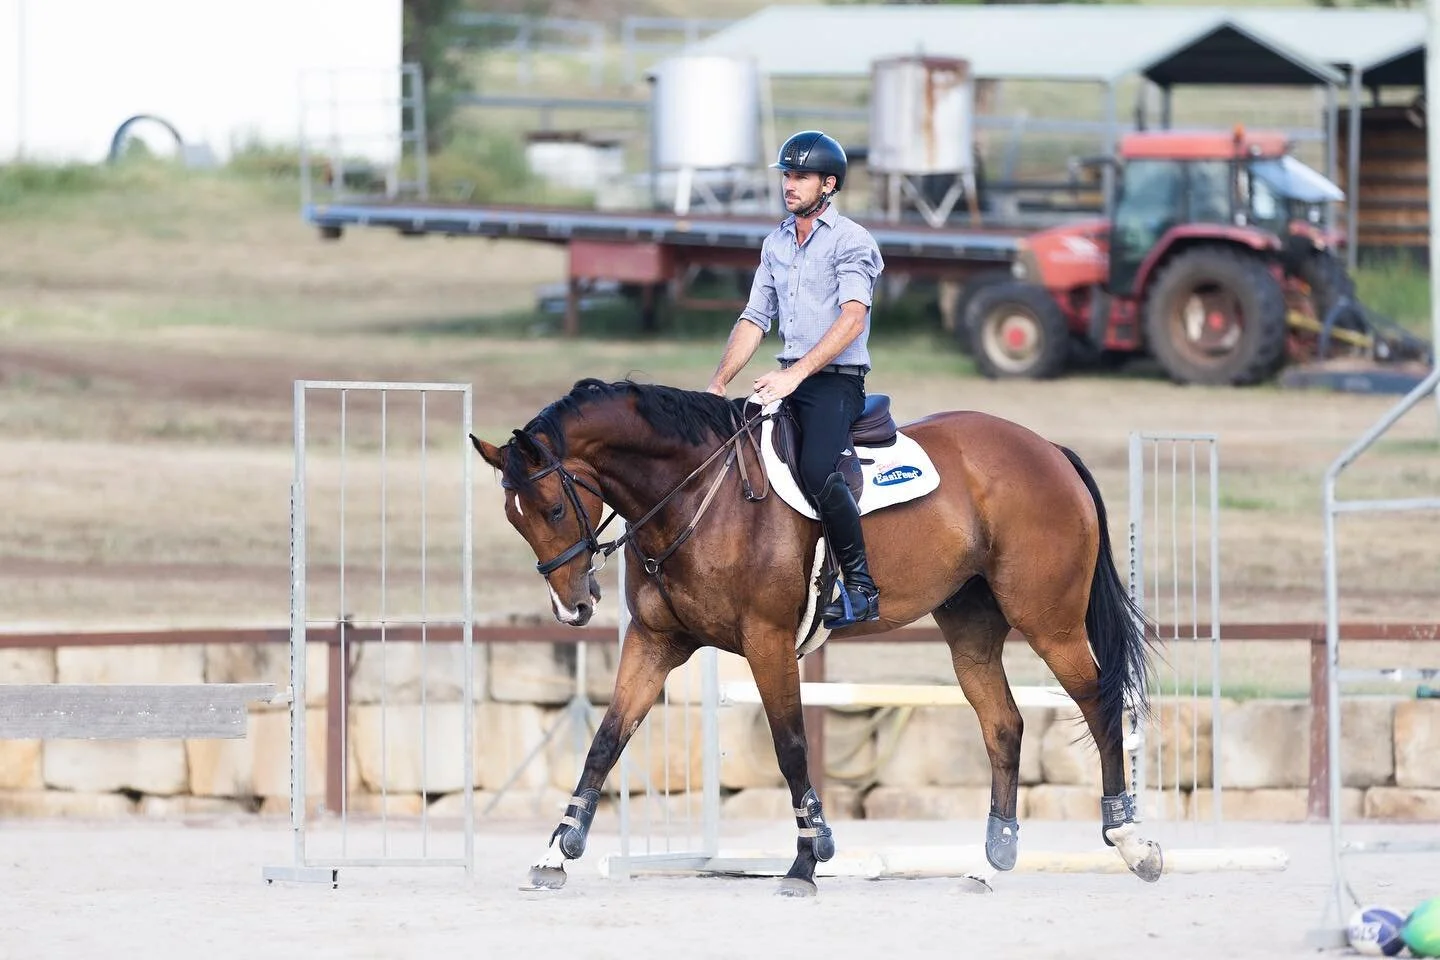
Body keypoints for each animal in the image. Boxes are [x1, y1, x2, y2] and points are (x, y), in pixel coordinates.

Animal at [466, 377, 1163, 903]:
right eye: (516, 519)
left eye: (555, 509)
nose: (573, 607)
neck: (694, 493)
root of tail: (1045, 447)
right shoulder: (655, 641)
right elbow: (606, 741)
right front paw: (558, 851)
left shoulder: (768, 642)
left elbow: (791, 745)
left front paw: (809, 858)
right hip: (971, 630)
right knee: (1004, 726)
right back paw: (990, 861)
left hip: (1049, 620)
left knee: (1099, 704)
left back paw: (1132, 843)